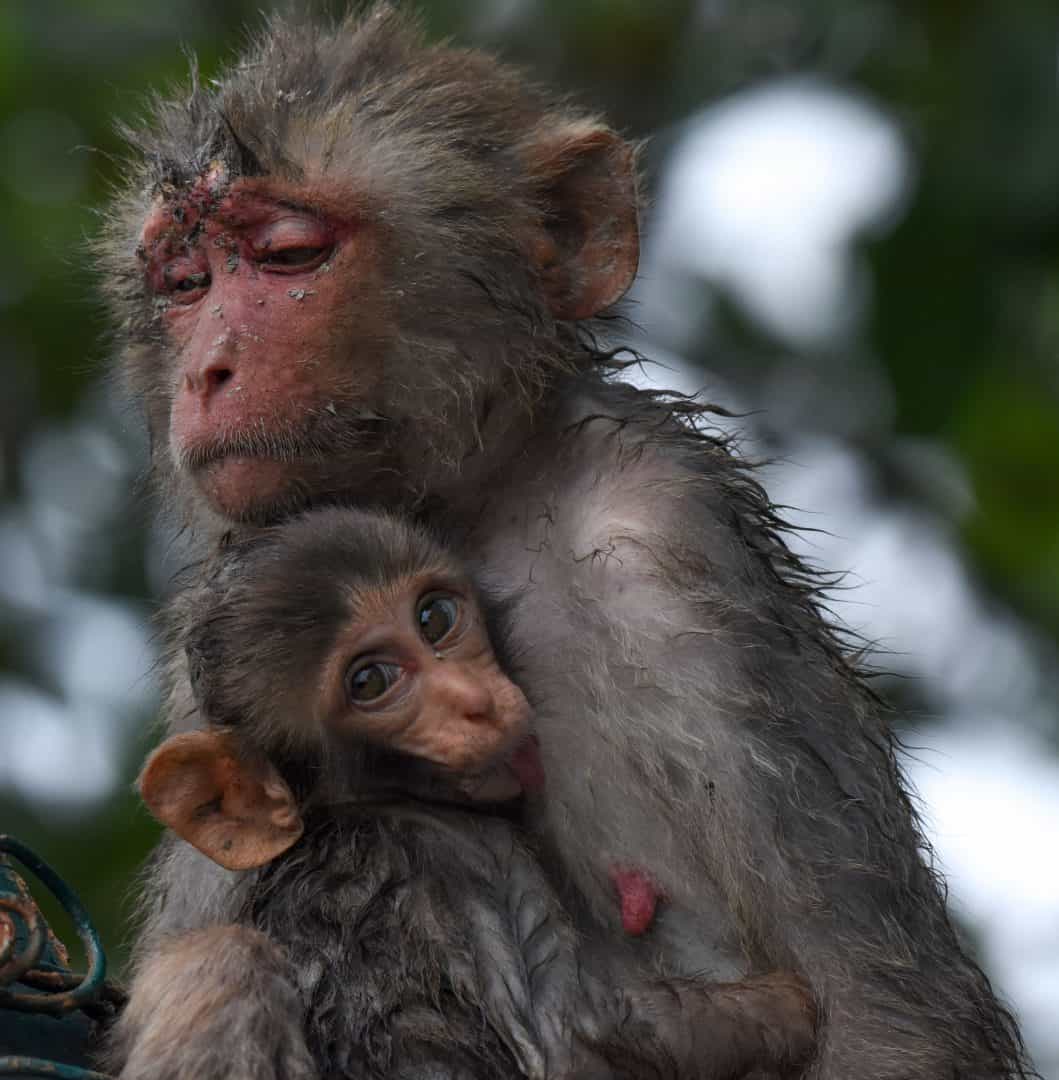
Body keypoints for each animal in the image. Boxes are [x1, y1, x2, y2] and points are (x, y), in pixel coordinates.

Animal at [136, 507, 816, 1080]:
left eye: (435, 618)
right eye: (370, 681)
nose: (475, 701)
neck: (362, 806)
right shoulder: (471, 852)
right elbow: (580, 1039)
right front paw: (792, 1005)